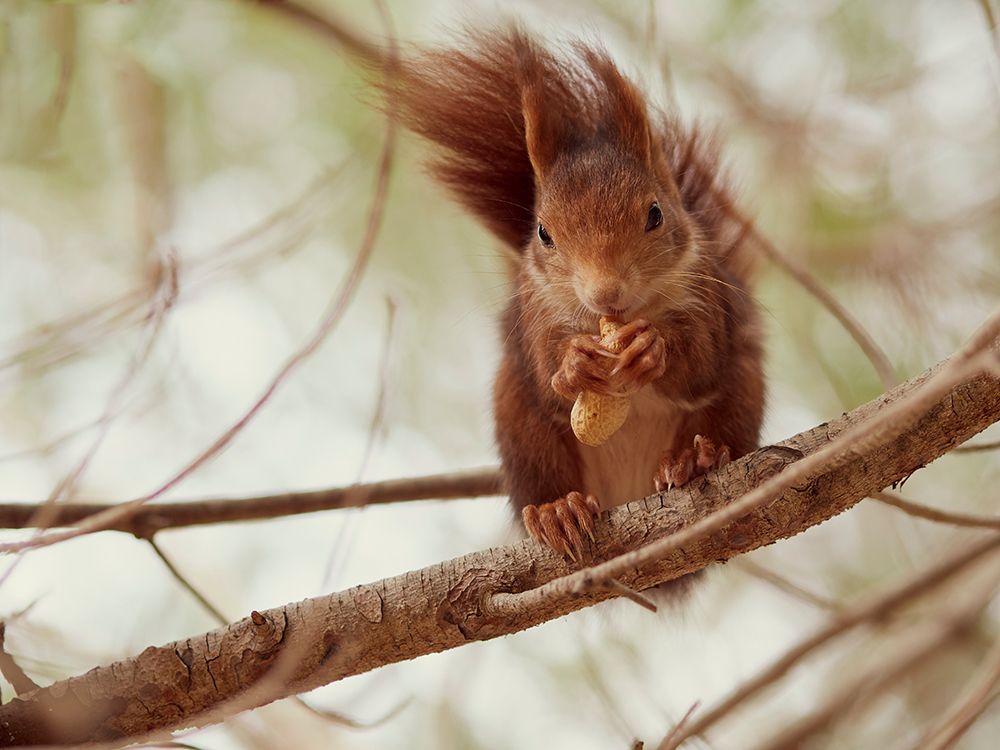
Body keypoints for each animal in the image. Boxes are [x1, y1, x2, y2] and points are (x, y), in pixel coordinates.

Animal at [386, 26, 760, 560]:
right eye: (543, 233)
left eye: (655, 214)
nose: (606, 294)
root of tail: (626, 494)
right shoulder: (535, 311)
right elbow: (547, 372)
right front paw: (573, 364)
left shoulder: (705, 293)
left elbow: (702, 359)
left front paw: (653, 347)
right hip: (523, 428)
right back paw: (558, 510)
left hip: (740, 394)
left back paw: (694, 461)